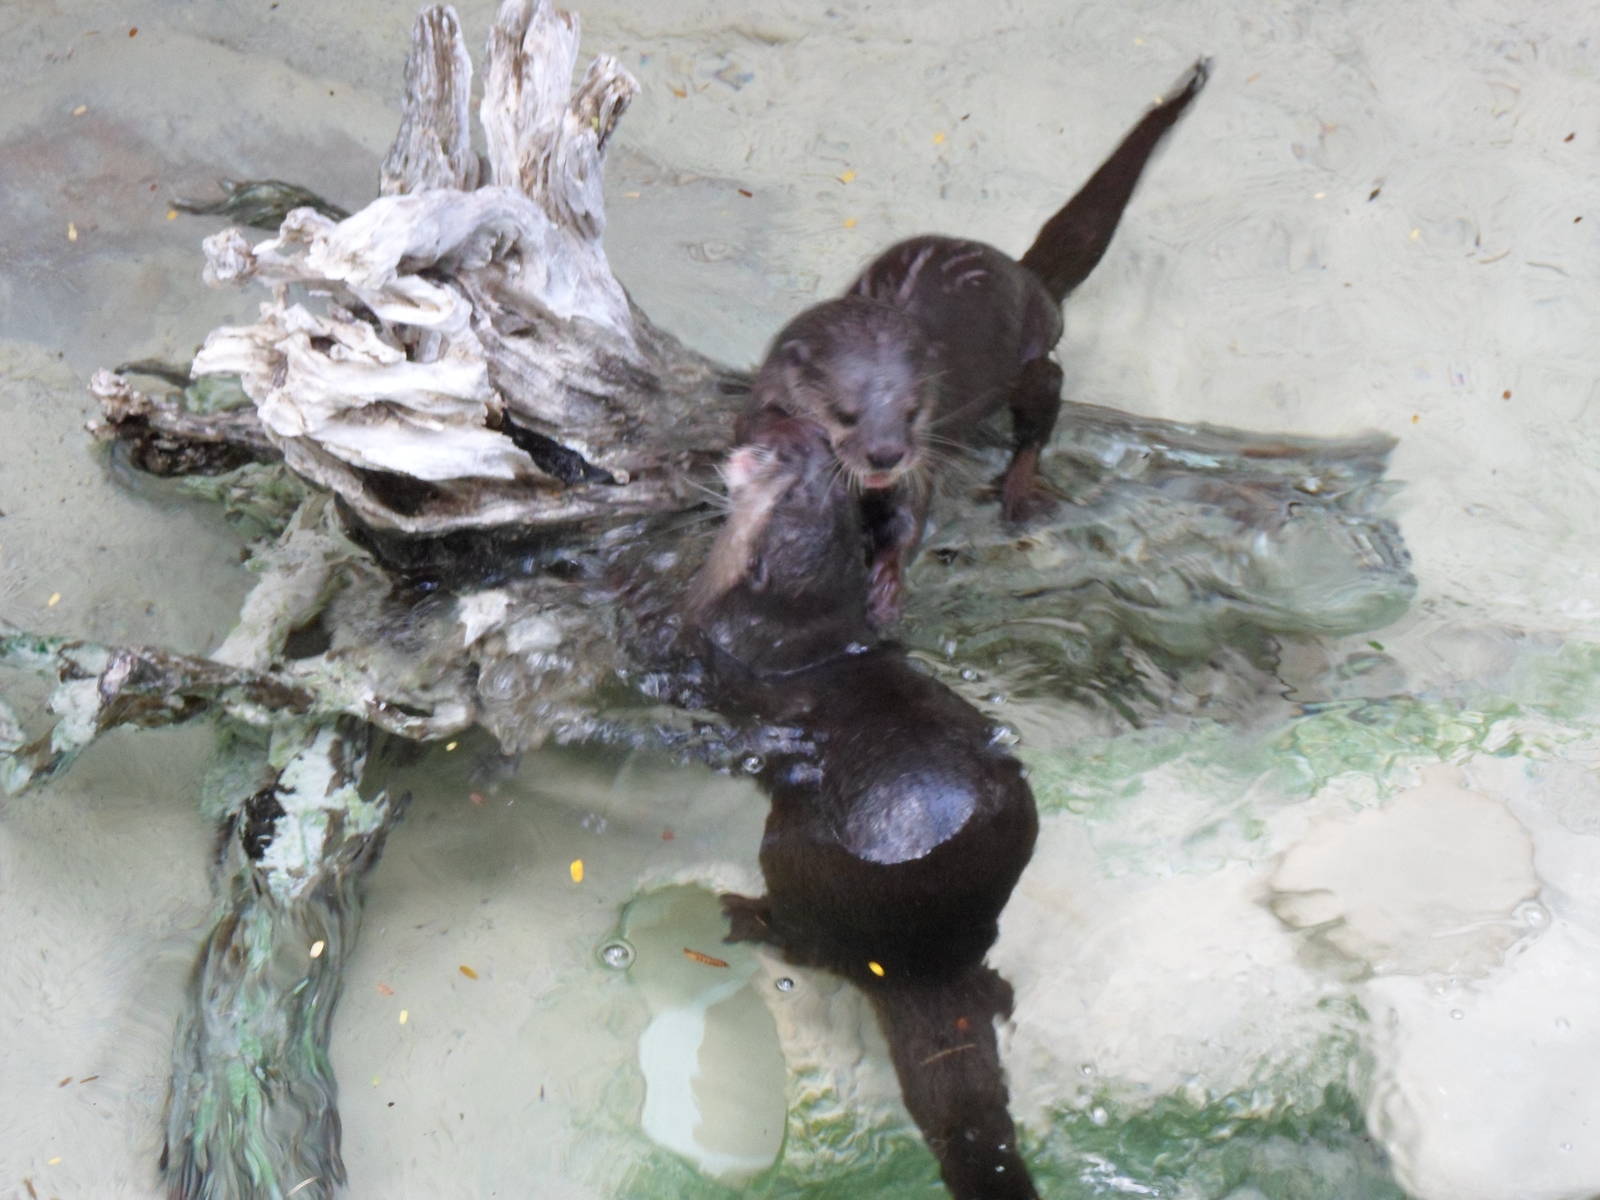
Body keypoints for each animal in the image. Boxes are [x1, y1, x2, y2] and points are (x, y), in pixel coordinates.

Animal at [689, 412, 1041, 1200]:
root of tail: (916, 952)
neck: (802, 634)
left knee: (800, 940)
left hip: (794, 857)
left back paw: (744, 914)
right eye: (824, 455)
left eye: (780, 465)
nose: (779, 426)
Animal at [746, 58, 1210, 623]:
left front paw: (886, 584)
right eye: (844, 412)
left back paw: (1019, 488)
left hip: (1029, 358)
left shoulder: (923, 452)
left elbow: (911, 514)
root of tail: (1028, 277)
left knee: (1044, 397)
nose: (886, 455)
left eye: (913, 411)